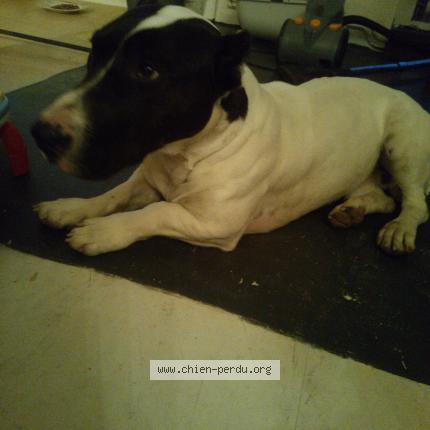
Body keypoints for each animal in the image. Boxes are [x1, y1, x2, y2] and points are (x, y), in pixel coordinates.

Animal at [31, 5, 430, 256]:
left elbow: (155, 212)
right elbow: (114, 195)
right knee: (382, 197)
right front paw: (72, 208)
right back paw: (353, 210)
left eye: (147, 70)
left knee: (415, 202)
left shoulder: (213, 222)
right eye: (93, 51)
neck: (189, 152)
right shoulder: (147, 180)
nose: (42, 134)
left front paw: (104, 231)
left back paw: (401, 228)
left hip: (401, 147)